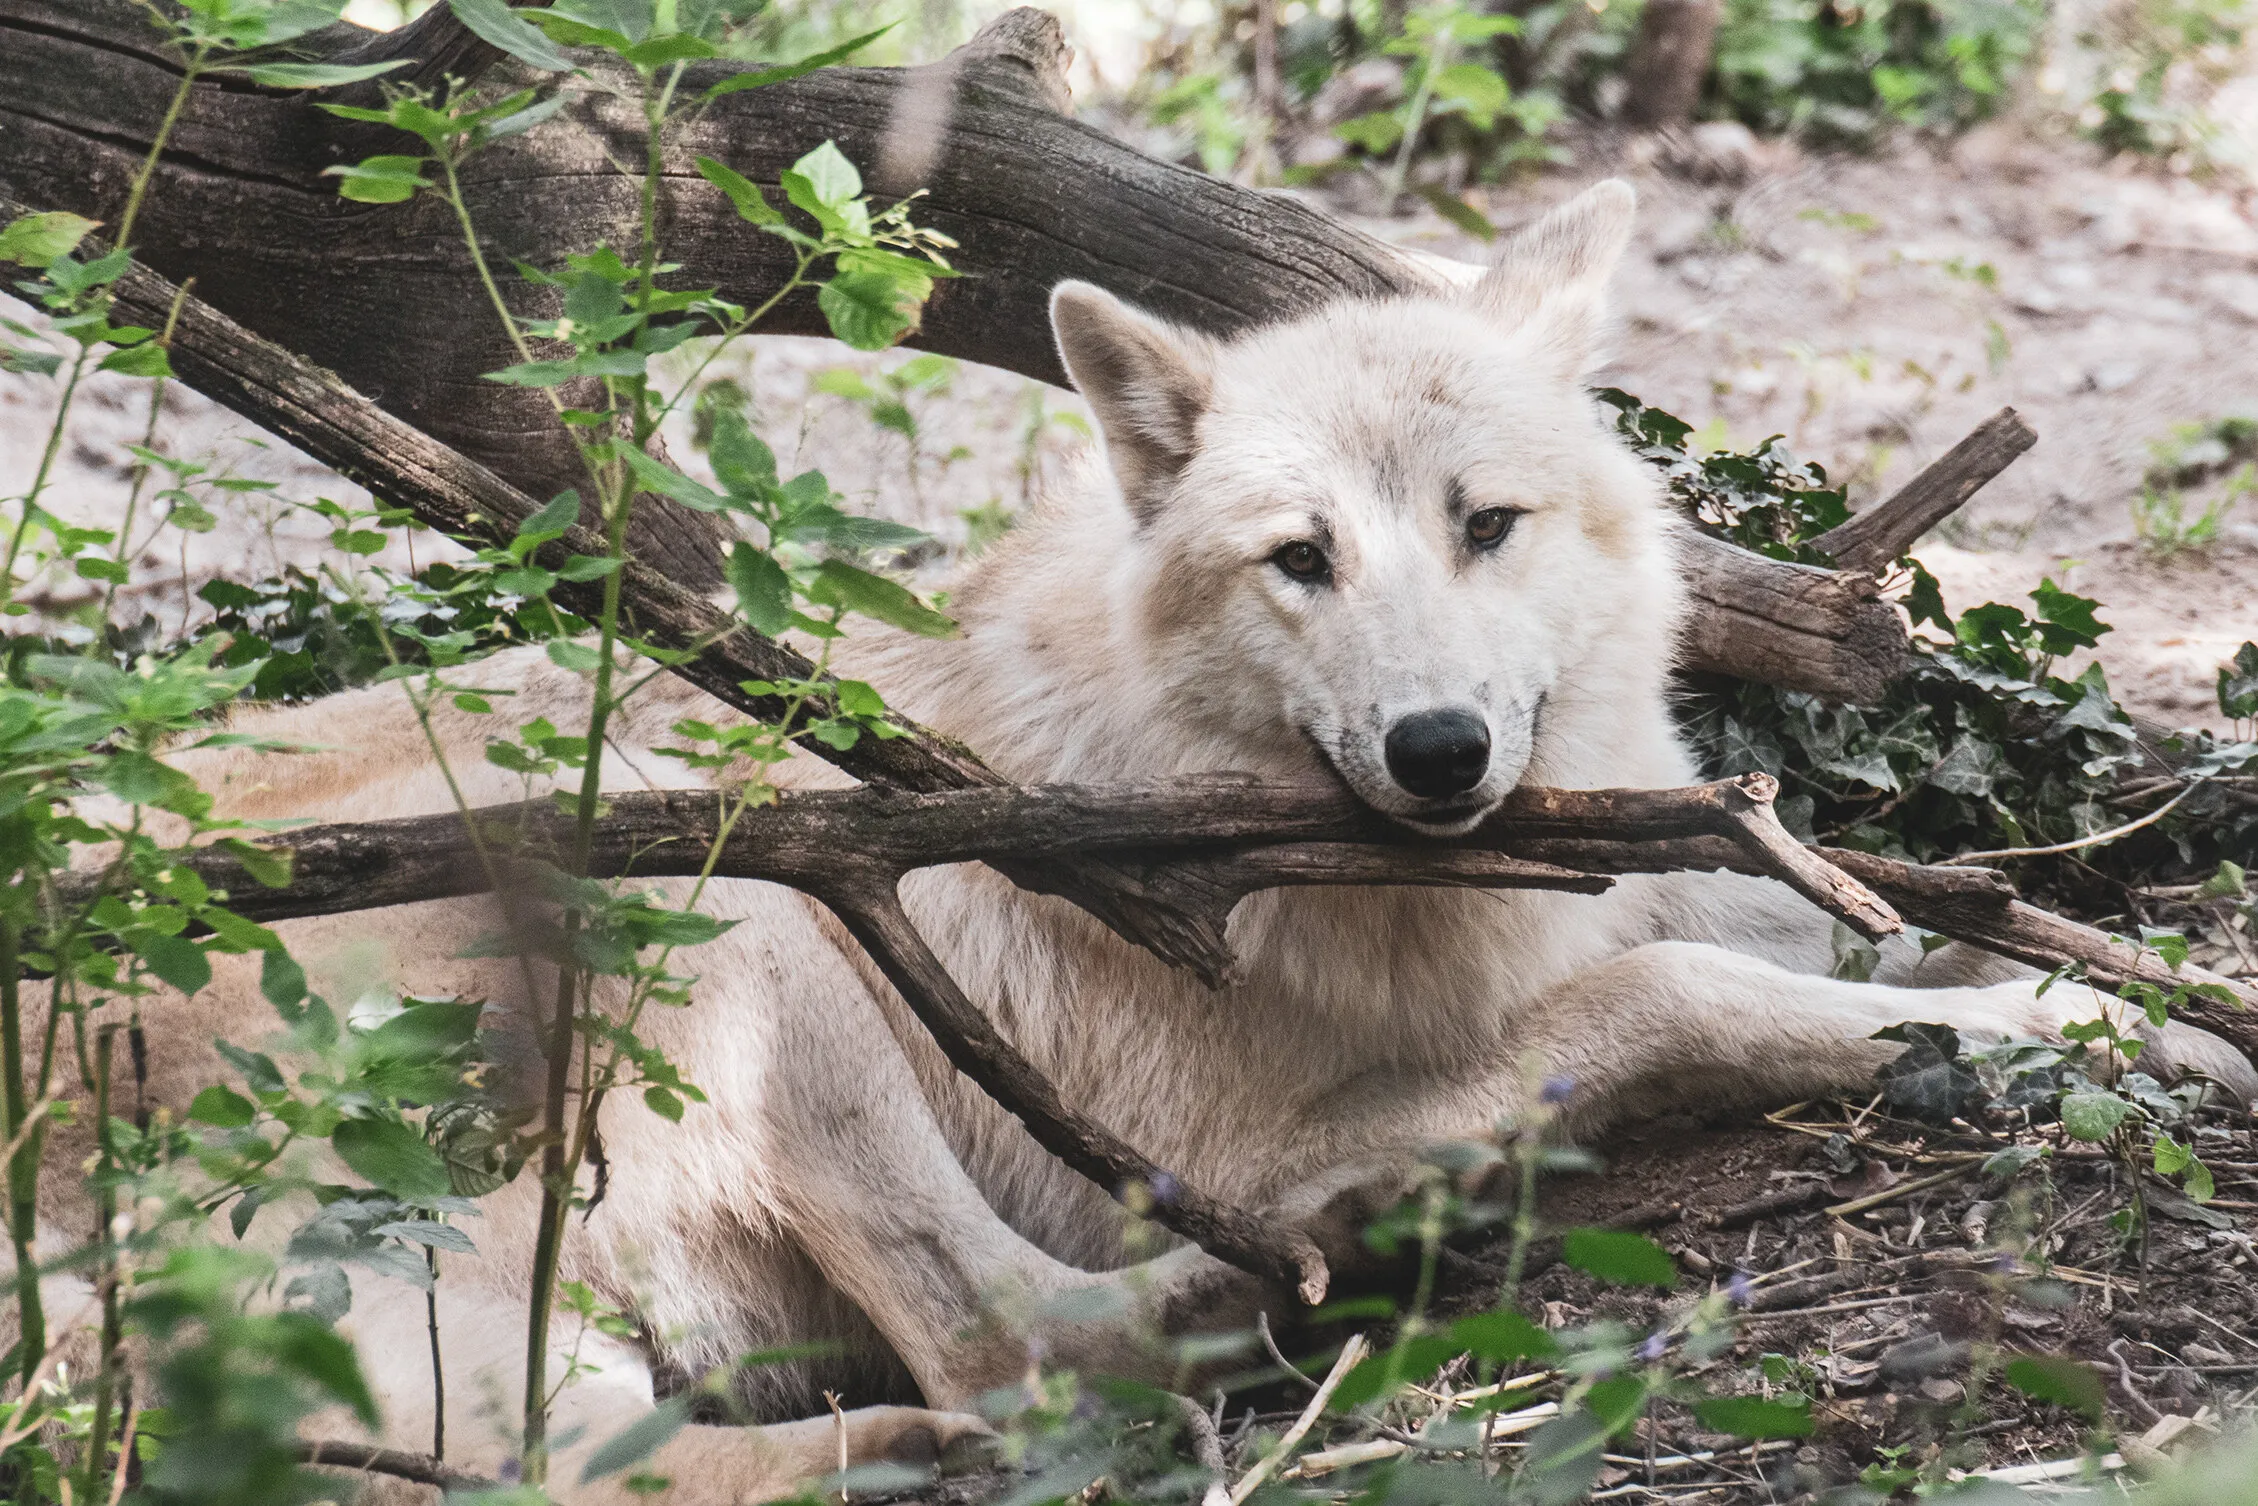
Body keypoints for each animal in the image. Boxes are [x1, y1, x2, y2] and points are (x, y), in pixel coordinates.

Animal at [28, 180, 2253, 1501]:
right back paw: (1361, 1246)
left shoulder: (1676, 874)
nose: (1438, 753)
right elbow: (1684, 991)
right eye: (1298, 560)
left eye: (1484, 524)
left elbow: (1851, 930)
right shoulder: (1268, 1106)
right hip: (734, 887)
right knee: (1017, 1355)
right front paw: (2087, 1039)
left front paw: (2089, 975)